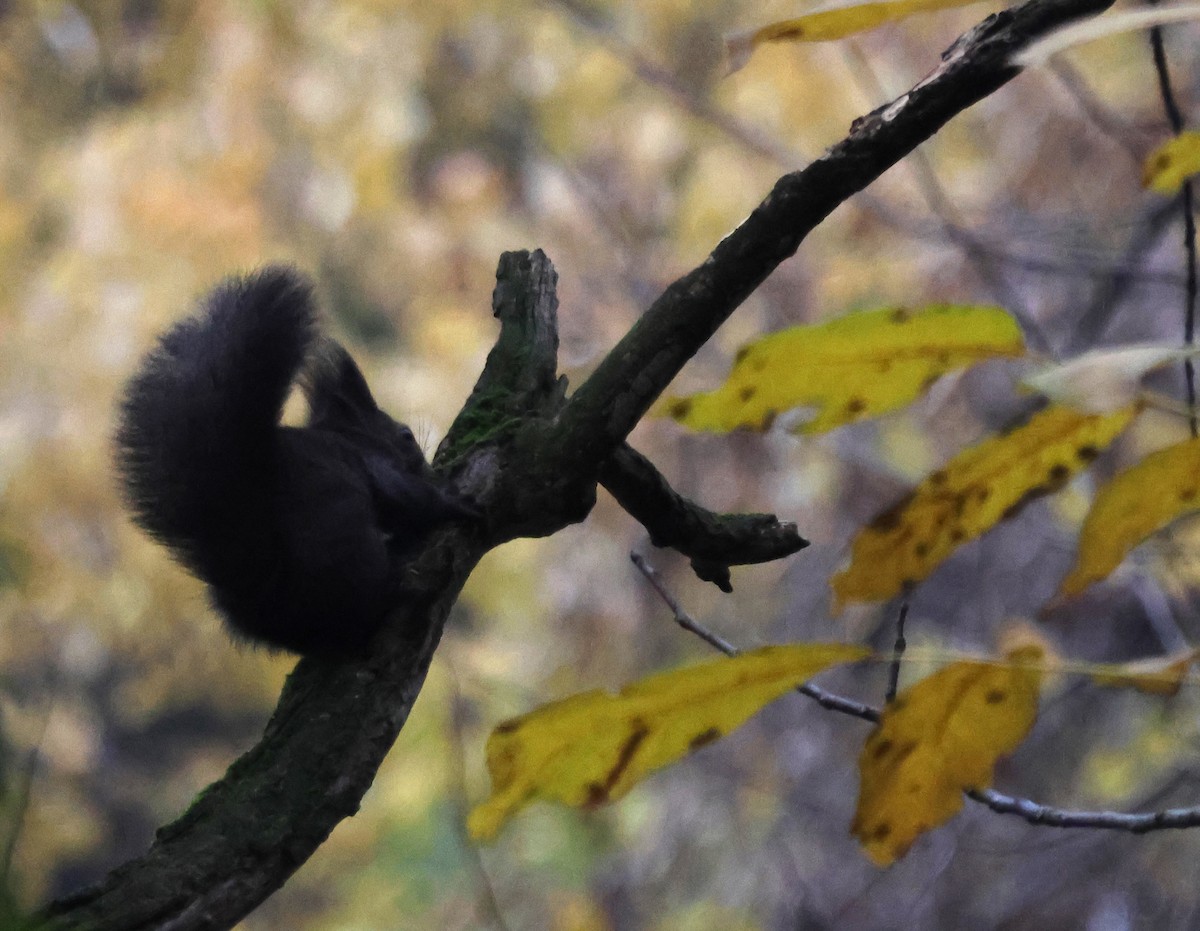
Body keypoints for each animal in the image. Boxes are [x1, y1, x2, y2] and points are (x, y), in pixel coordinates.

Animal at [114, 266, 478, 658]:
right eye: (407, 436)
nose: (429, 468)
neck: (352, 437)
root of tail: (269, 590)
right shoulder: (375, 465)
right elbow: (412, 500)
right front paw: (455, 503)